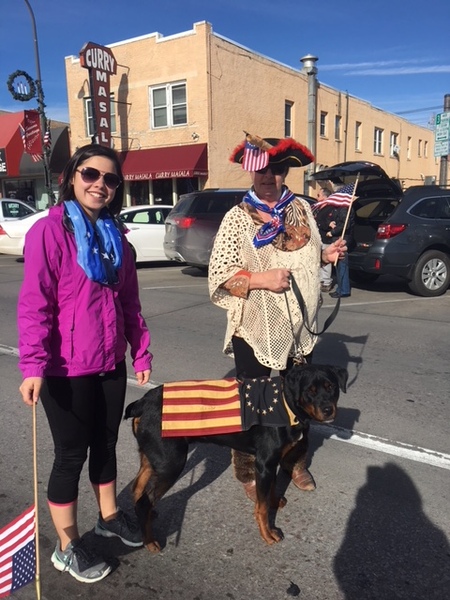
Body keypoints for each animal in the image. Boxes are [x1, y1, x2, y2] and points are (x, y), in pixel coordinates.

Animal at [123, 364, 348, 552]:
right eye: (310, 391)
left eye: (331, 387)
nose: (328, 409)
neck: (286, 404)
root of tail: (143, 402)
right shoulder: (264, 463)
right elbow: (262, 507)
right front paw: (268, 534)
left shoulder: (271, 462)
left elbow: (271, 489)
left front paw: (274, 501)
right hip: (171, 463)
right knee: (144, 500)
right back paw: (149, 541)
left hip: (153, 459)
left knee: (138, 488)